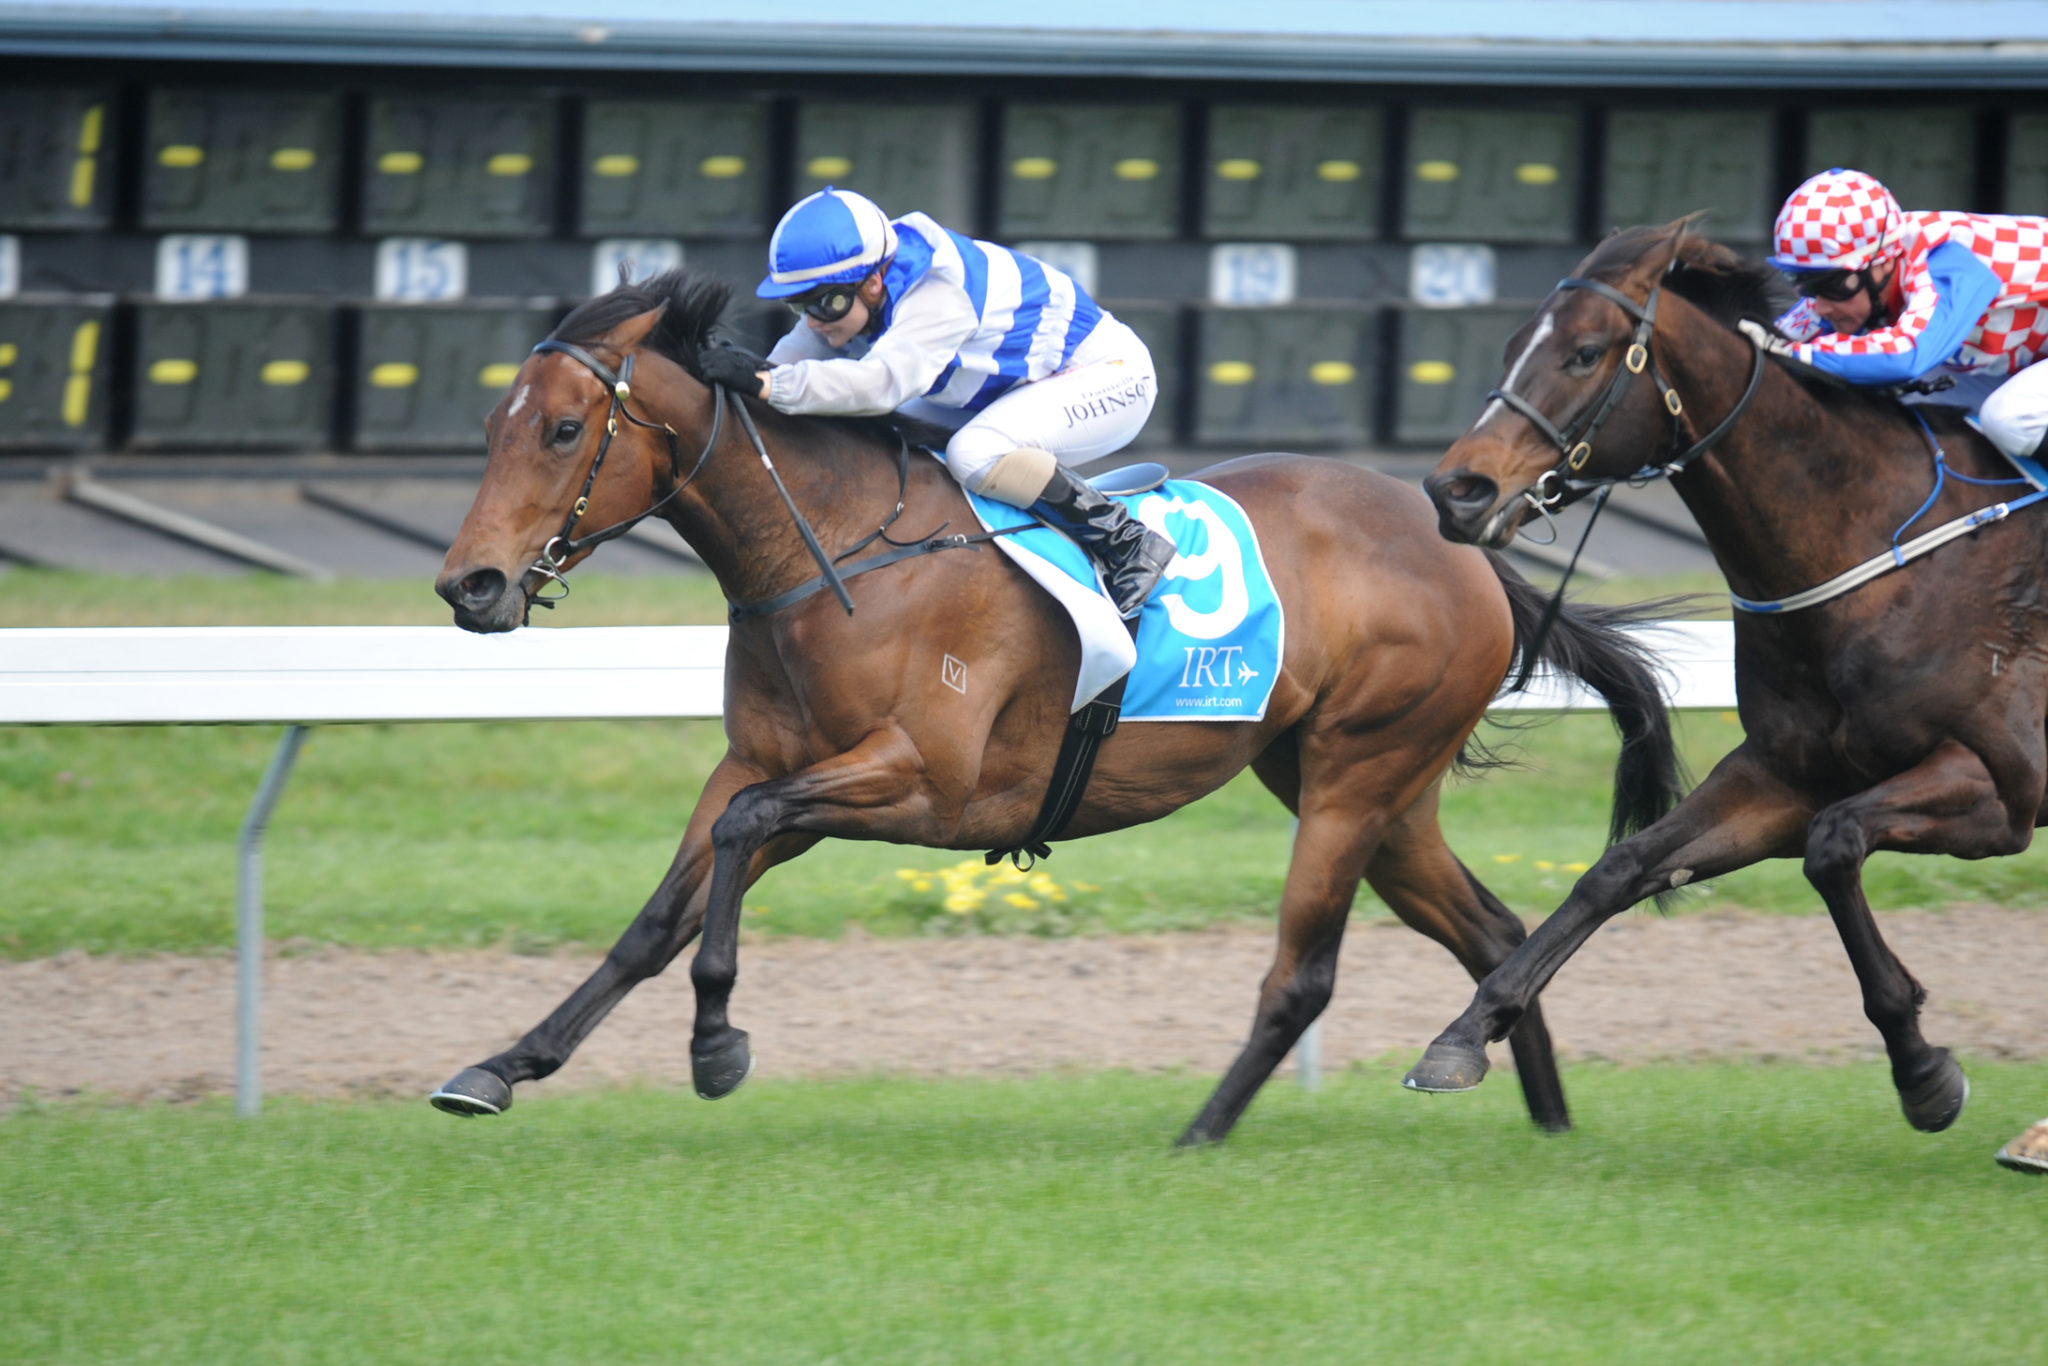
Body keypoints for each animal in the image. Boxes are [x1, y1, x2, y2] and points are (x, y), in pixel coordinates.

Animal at [419, 266, 1679, 1146]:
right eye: (487, 428)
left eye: (565, 430)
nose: (468, 586)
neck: (836, 549)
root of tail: (1464, 544)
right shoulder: (769, 765)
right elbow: (655, 916)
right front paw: (499, 1067)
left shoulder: (920, 783)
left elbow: (736, 843)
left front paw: (717, 1041)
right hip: (1371, 788)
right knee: (1490, 934)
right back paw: (1536, 1112)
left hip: (1355, 777)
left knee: (1304, 973)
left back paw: (1200, 1132)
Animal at [1417, 219, 2048, 1163]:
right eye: (1510, 346)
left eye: (1585, 353)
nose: (1456, 490)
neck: (1881, 554)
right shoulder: (1781, 775)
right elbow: (1619, 869)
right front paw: (1464, 1033)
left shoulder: (1998, 790)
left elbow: (1834, 846)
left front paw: (1923, 1071)